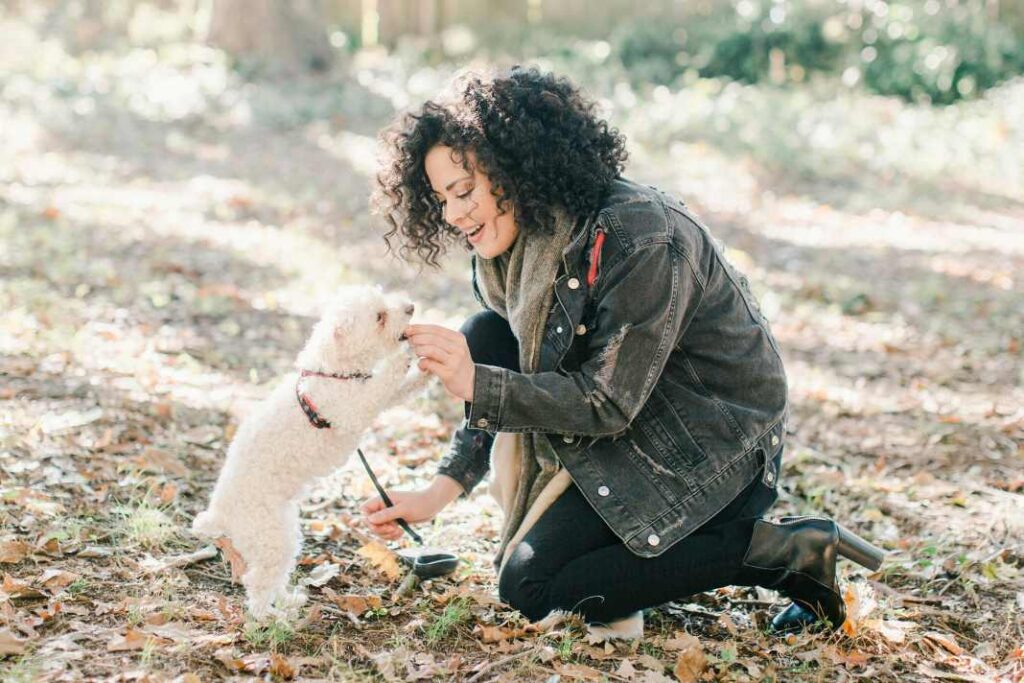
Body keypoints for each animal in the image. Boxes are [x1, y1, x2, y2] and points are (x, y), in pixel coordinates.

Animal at [192, 282, 423, 618]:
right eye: (380, 317)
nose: (410, 307)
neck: (333, 371)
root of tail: (218, 515)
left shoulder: (373, 396)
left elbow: (403, 387)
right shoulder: (354, 406)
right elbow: (387, 380)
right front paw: (407, 354)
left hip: (282, 533)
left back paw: (289, 602)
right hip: (271, 536)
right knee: (257, 582)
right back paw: (271, 618)